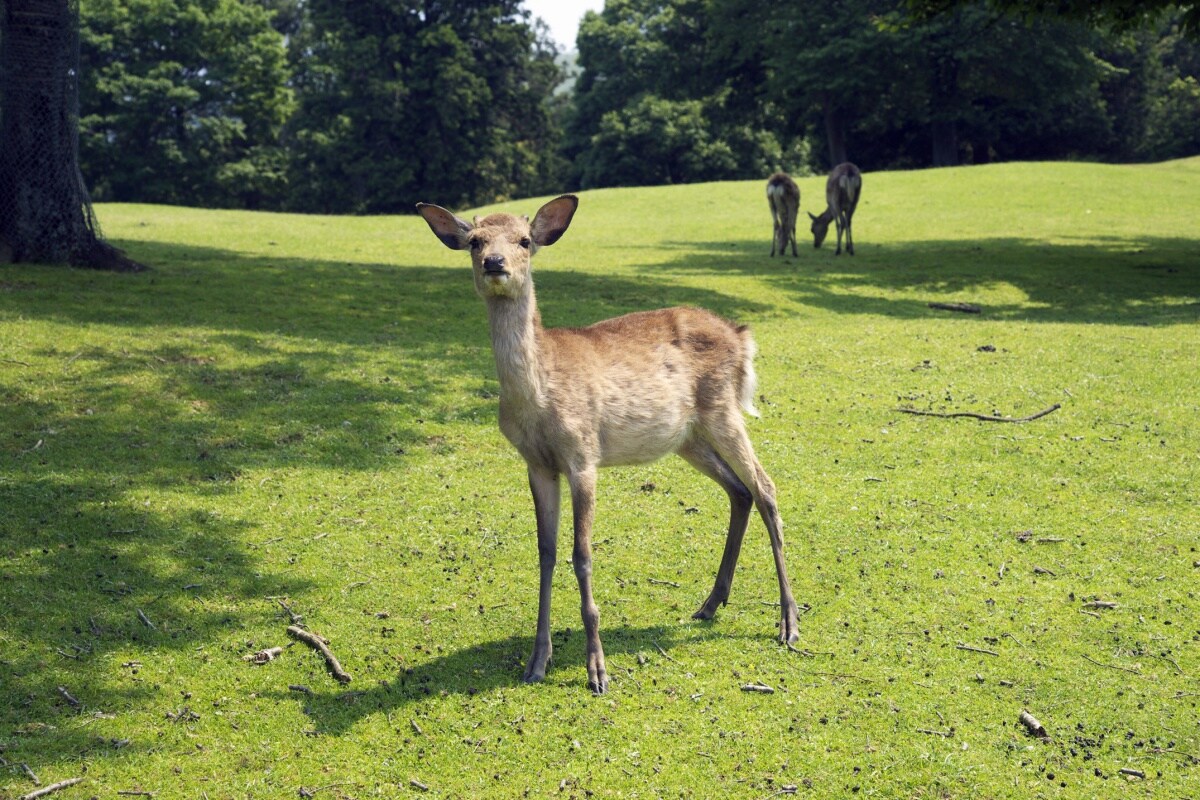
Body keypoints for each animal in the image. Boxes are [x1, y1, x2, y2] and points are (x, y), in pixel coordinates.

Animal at [417, 195, 801, 695]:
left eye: (524, 240)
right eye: (475, 240)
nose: (495, 263)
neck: (537, 399)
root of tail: (743, 336)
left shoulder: (583, 455)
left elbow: (582, 555)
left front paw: (597, 670)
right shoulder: (537, 464)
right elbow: (546, 552)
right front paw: (536, 661)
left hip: (724, 411)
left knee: (766, 488)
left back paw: (789, 623)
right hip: (688, 437)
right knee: (740, 492)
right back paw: (709, 604)